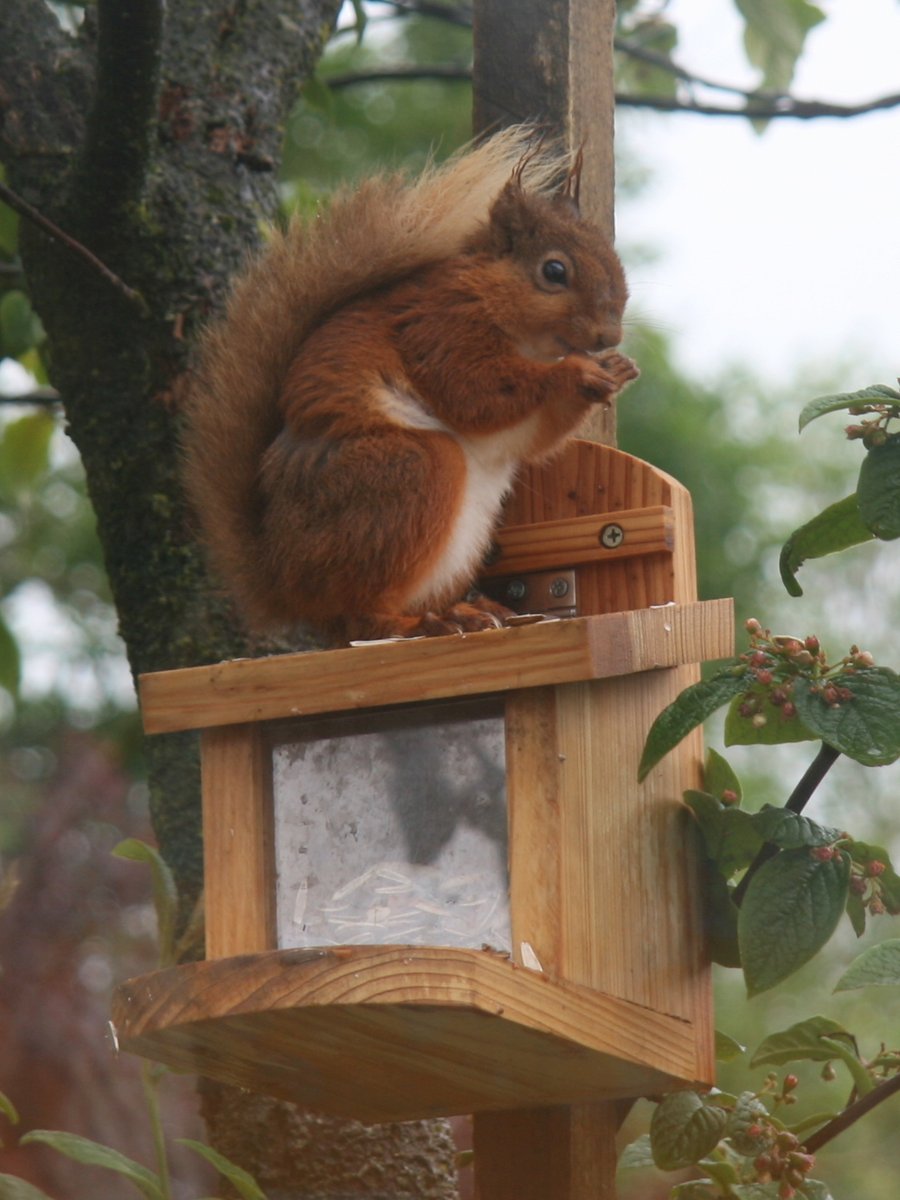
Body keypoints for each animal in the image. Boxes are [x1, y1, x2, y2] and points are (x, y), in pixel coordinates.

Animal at [183, 125, 639, 646]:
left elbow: (528, 436)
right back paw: (428, 622)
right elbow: (474, 391)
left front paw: (615, 369)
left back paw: (471, 610)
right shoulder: (439, 330)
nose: (609, 336)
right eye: (554, 271)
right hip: (405, 474)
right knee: (362, 617)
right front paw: (575, 373)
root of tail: (282, 582)